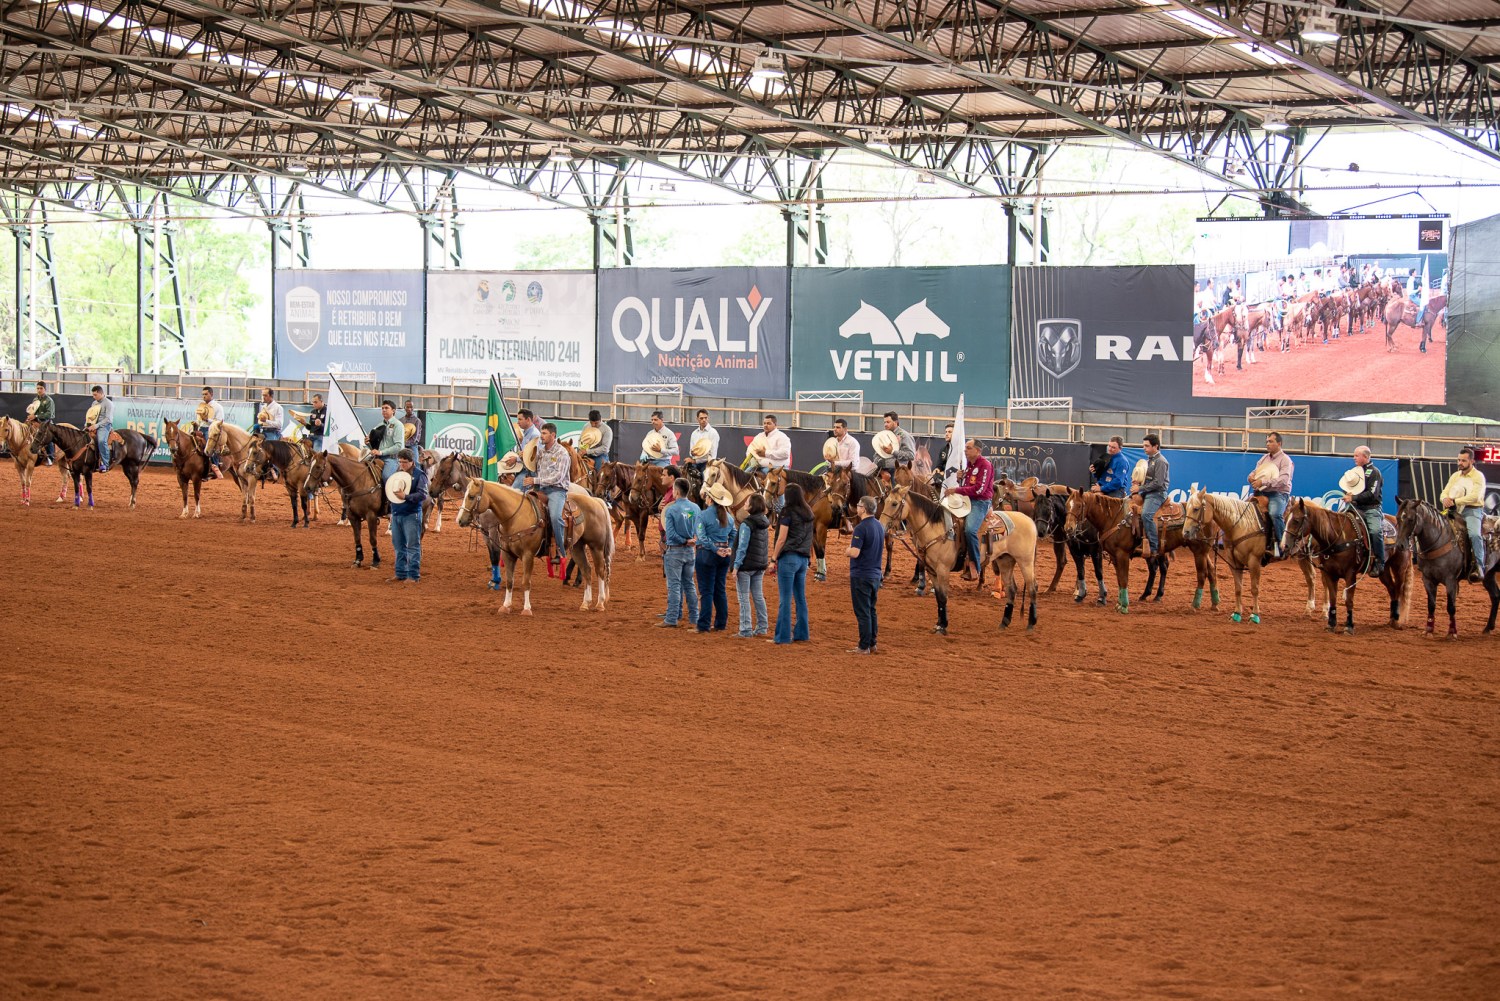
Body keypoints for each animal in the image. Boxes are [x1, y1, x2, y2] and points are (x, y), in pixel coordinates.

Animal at [459, 480, 555, 615]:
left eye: (471, 496)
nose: (459, 520)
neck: (517, 517)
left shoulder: (528, 555)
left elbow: (526, 581)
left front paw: (526, 608)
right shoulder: (507, 553)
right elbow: (509, 580)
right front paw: (506, 605)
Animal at [1182, 489, 1314, 621]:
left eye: (1196, 509)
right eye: (1187, 508)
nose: (1185, 532)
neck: (1240, 526)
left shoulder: (1254, 561)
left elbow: (1254, 588)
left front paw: (1255, 615)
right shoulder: (1234, 562)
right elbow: (1238, 588)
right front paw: (1237, 613)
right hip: (1302, 556)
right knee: (1310, 577)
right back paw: (1309, 609)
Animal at [1284, 498, 1410, 633]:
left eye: (1296, 520)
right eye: (1285, 519)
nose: (1285, 546)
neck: (1337, 537)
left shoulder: (1350, 574)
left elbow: (1349, 600)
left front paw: (1348, 626)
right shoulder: (1329, 572)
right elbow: (1333, 597)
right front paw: (1331, 623)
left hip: (1399, 566)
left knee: (1398, 589)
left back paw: (1396, 620)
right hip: (1384, 570)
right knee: (1392, 589)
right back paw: (1391, 620)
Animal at [1398, 498, 1470, 639]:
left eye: (1410, 519)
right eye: (1398, 518)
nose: (1400, 545)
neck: (1438, 543)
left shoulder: (1451, 580)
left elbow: (1451, 606)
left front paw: (1452, 632)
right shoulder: (1427, 579)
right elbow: (1431, 605)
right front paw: (1428, 630)